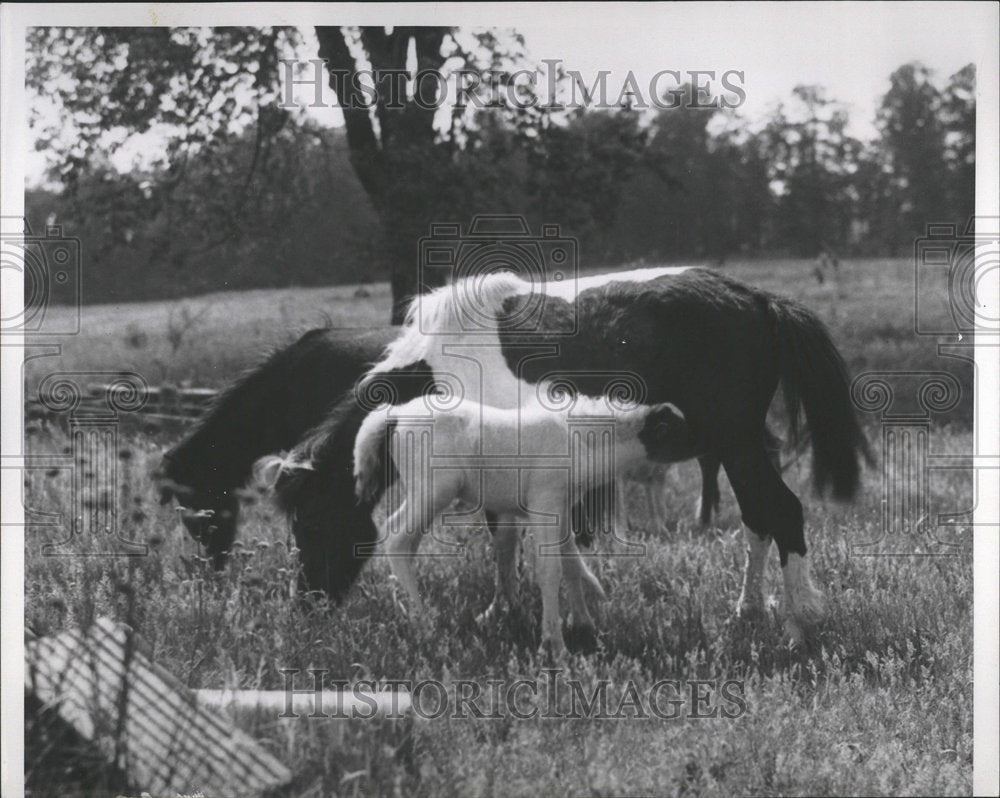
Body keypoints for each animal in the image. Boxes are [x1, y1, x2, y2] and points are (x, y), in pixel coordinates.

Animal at [350, 393, 704, 654]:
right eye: (678, 429)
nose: (708, 447)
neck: (579, 440)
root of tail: (396, 414)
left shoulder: (561, 508)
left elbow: (571, 564)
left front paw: (584, 625)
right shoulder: (544, 504)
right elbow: (550, 571)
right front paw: (555, 645)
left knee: (404, 543)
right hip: (434, 489)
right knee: (396, 537)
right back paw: (425, 621)